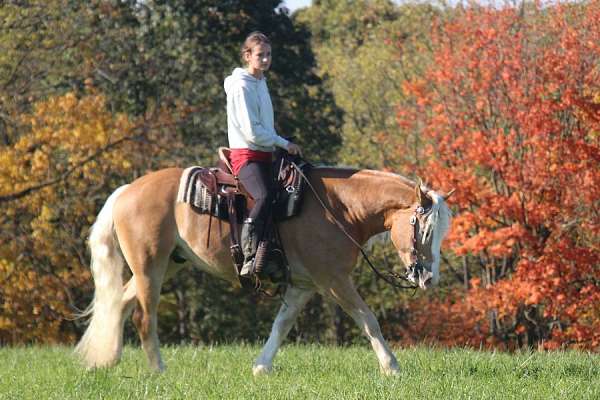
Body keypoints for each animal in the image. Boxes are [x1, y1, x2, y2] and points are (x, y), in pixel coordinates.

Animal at [75, 165, 450, 376]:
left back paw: (105, 359)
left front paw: (261, 366)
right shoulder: (333, 280)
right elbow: (368, 319)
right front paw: (392, 367)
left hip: (164, 265)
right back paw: (158, 370)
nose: (428, 278)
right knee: (142, 316)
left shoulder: (304, 285)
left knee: (119, 304)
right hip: (150, 265)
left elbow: (281, 325)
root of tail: (126, 191)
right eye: (424, 229)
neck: (340, 208)